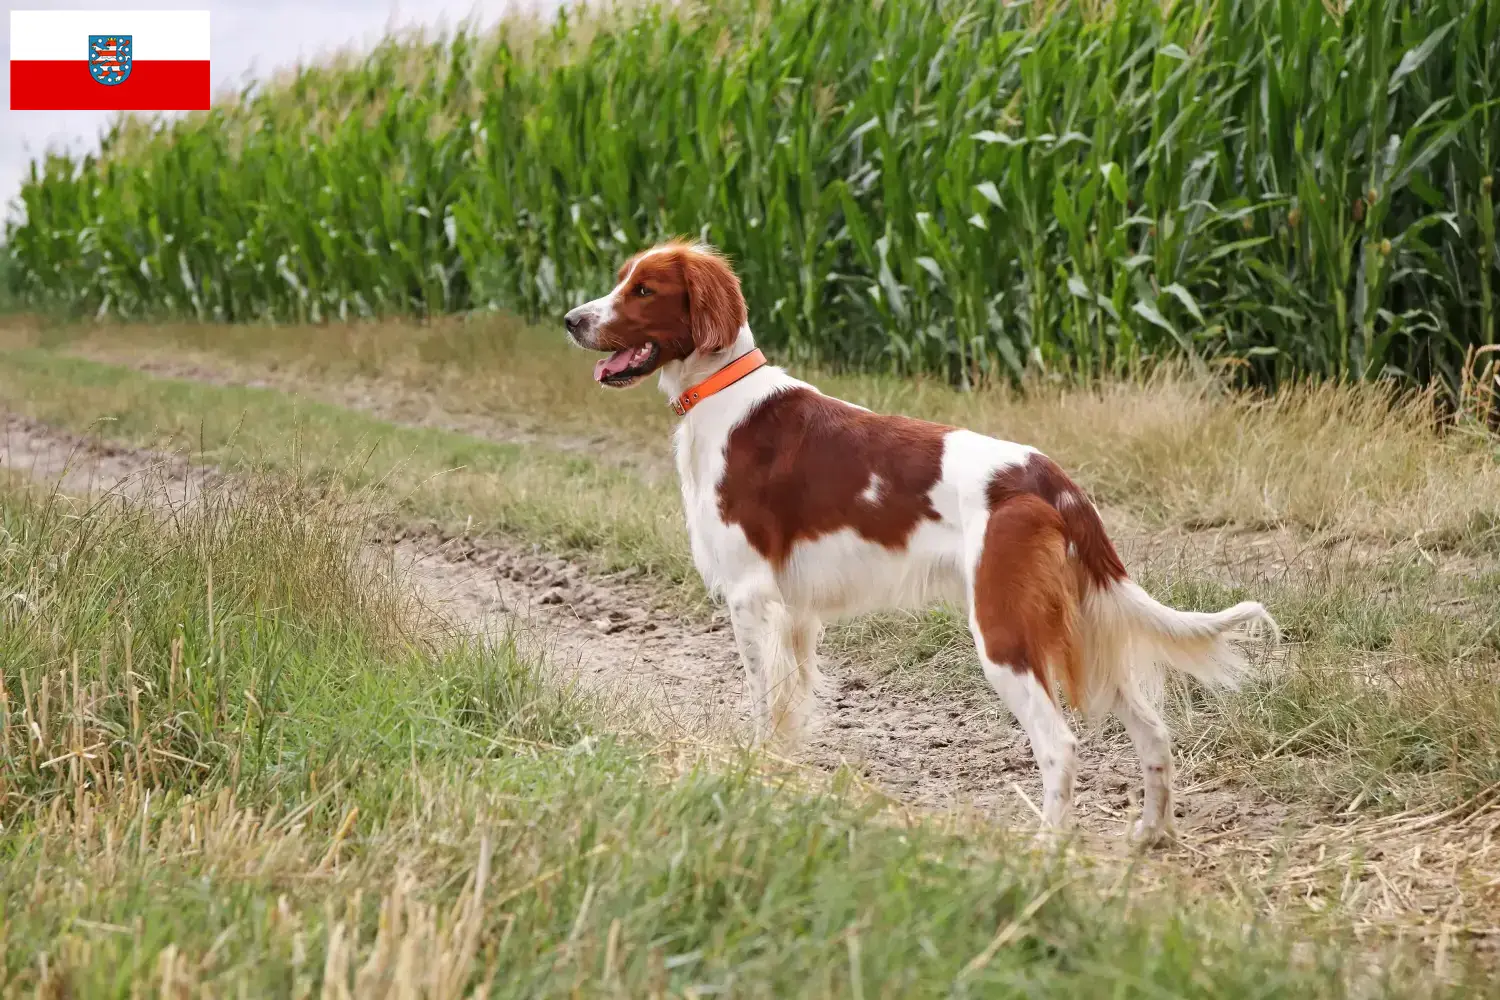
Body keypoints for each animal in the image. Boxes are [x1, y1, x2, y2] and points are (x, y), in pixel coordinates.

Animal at [564, 242, 1278, 845]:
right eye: (621, 280)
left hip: (1004, 633)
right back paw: (1151, 836)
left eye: (644, 289)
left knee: (1060, 745)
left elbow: (764, 701)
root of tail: (1050, 481)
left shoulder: (750, 596)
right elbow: (792, 705)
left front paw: (754, 771)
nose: (571, 319)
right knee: (1153, 731)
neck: (724, 394)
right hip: (1079, 625)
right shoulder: (793, 614)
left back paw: (1047, 849)